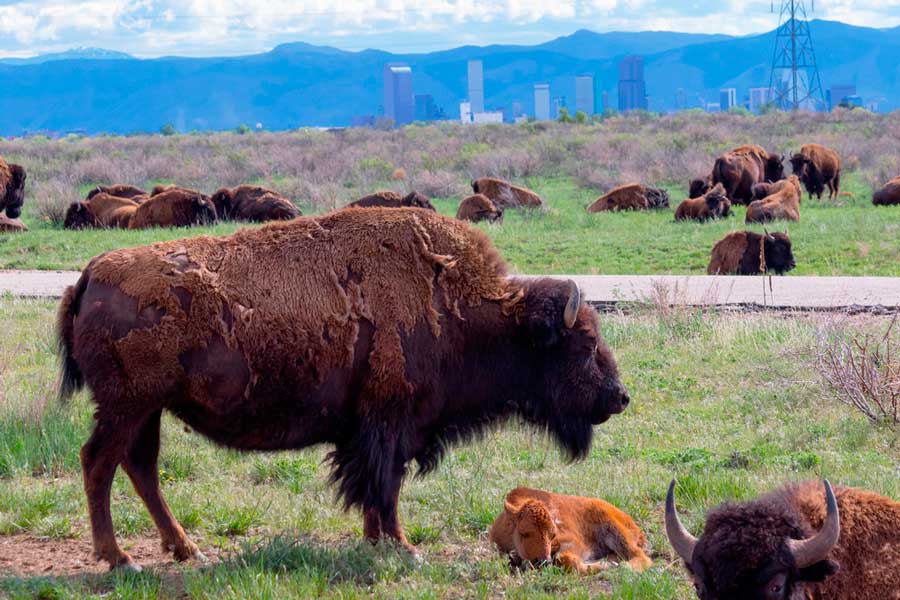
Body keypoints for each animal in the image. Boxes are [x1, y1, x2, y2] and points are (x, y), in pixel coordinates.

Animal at [57, 208, 630, 571]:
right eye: (583, 344)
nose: (620, 397)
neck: (464, 308)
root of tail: (90, 274)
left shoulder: (374, 432)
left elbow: (376, 491)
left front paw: (379, 544)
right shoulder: (389, 426)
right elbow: (385, 488)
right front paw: (405, 549)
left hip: (147, 408)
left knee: (140, 468)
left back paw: (184, 549)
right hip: (128, 406)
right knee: (99, 463)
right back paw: (119, 559)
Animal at [490, 487, 652, 574]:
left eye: (552, 534)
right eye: (524, 533)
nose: (543, 561)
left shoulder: (573, 543)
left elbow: (566, 559)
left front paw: (603, 566)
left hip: (616, 531)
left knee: (639, 555)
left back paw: (624, 567)